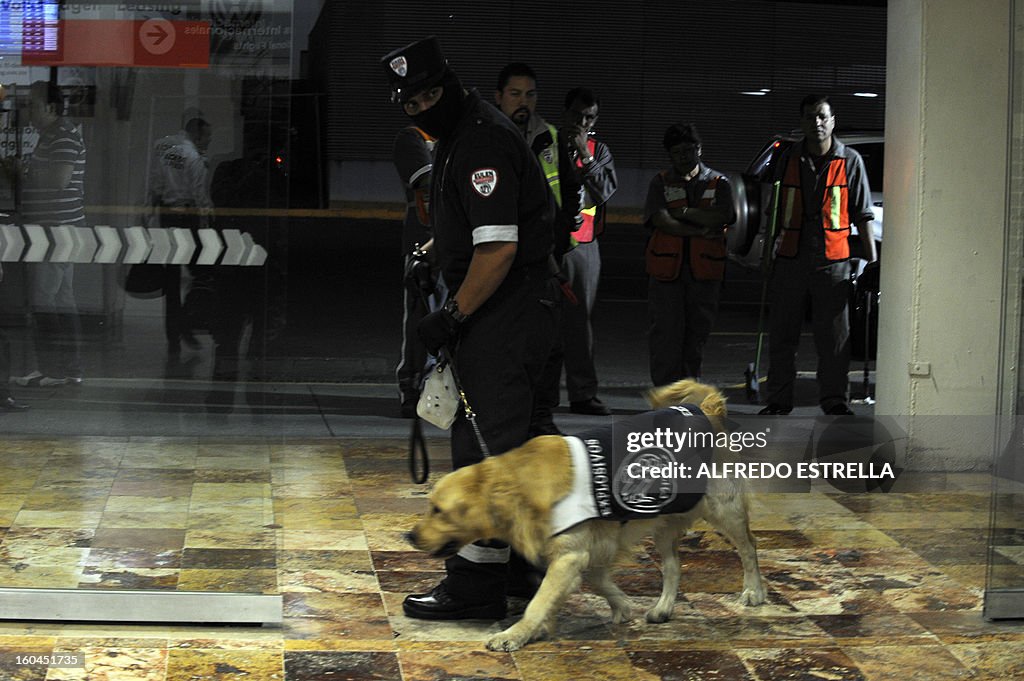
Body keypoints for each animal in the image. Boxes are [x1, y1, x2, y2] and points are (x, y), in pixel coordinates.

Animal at [403, 378, 765, 651]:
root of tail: (707, 411)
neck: (521, 486)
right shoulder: (589, 548)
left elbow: (540, 600)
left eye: (439, 510)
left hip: (724, 509)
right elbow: (591, 581)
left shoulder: (572, 554)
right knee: (673, 565)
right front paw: (621, 606)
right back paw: (663, 608)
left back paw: (754, 591)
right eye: (429, 505)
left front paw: (515, 634)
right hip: (663, 520)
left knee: (749, 547)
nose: (409, 536)